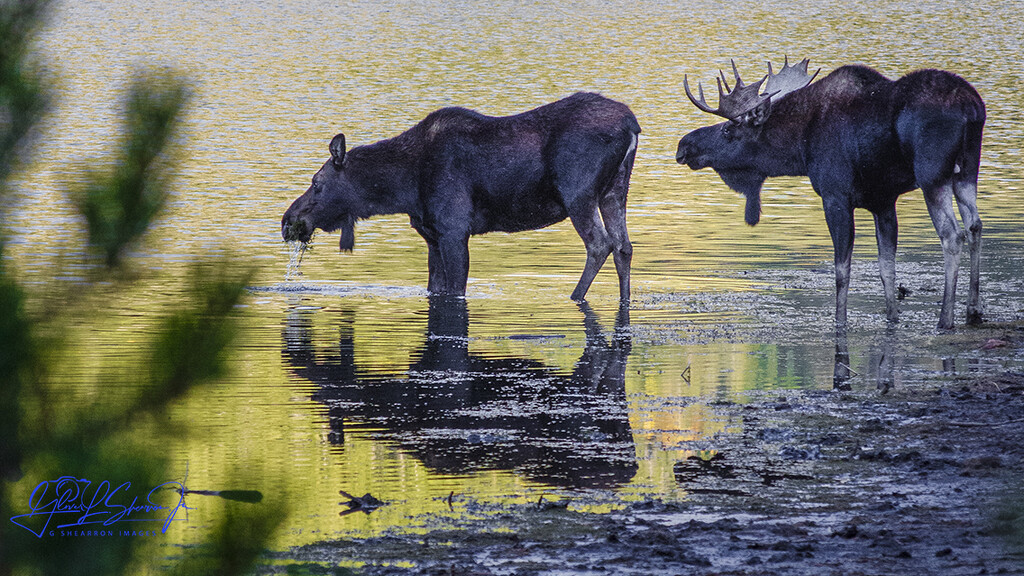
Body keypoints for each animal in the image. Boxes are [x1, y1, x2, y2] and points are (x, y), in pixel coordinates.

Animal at [282, 90, 638, 301]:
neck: (403, 188)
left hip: (578, 193)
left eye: (316, 182)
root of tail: (632, 125)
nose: (288, 221)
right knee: (624, 246)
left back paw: (575, 297)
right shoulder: (433, 236)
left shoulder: (454, 230)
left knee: (600, 243)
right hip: (614, 190)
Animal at [675, 58, 987, 330]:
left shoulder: (835, 196)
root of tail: (972, 107)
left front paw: (839, 321)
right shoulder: (883, 202)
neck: (800, 147)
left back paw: (946, 319)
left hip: (932, 175)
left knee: (952, 234)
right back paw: (973, 310)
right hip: (967, 171)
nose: (683, 146)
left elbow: (841, 271)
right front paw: (892, 317)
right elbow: (887, 268)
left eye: (729, 131)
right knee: (974, 224)